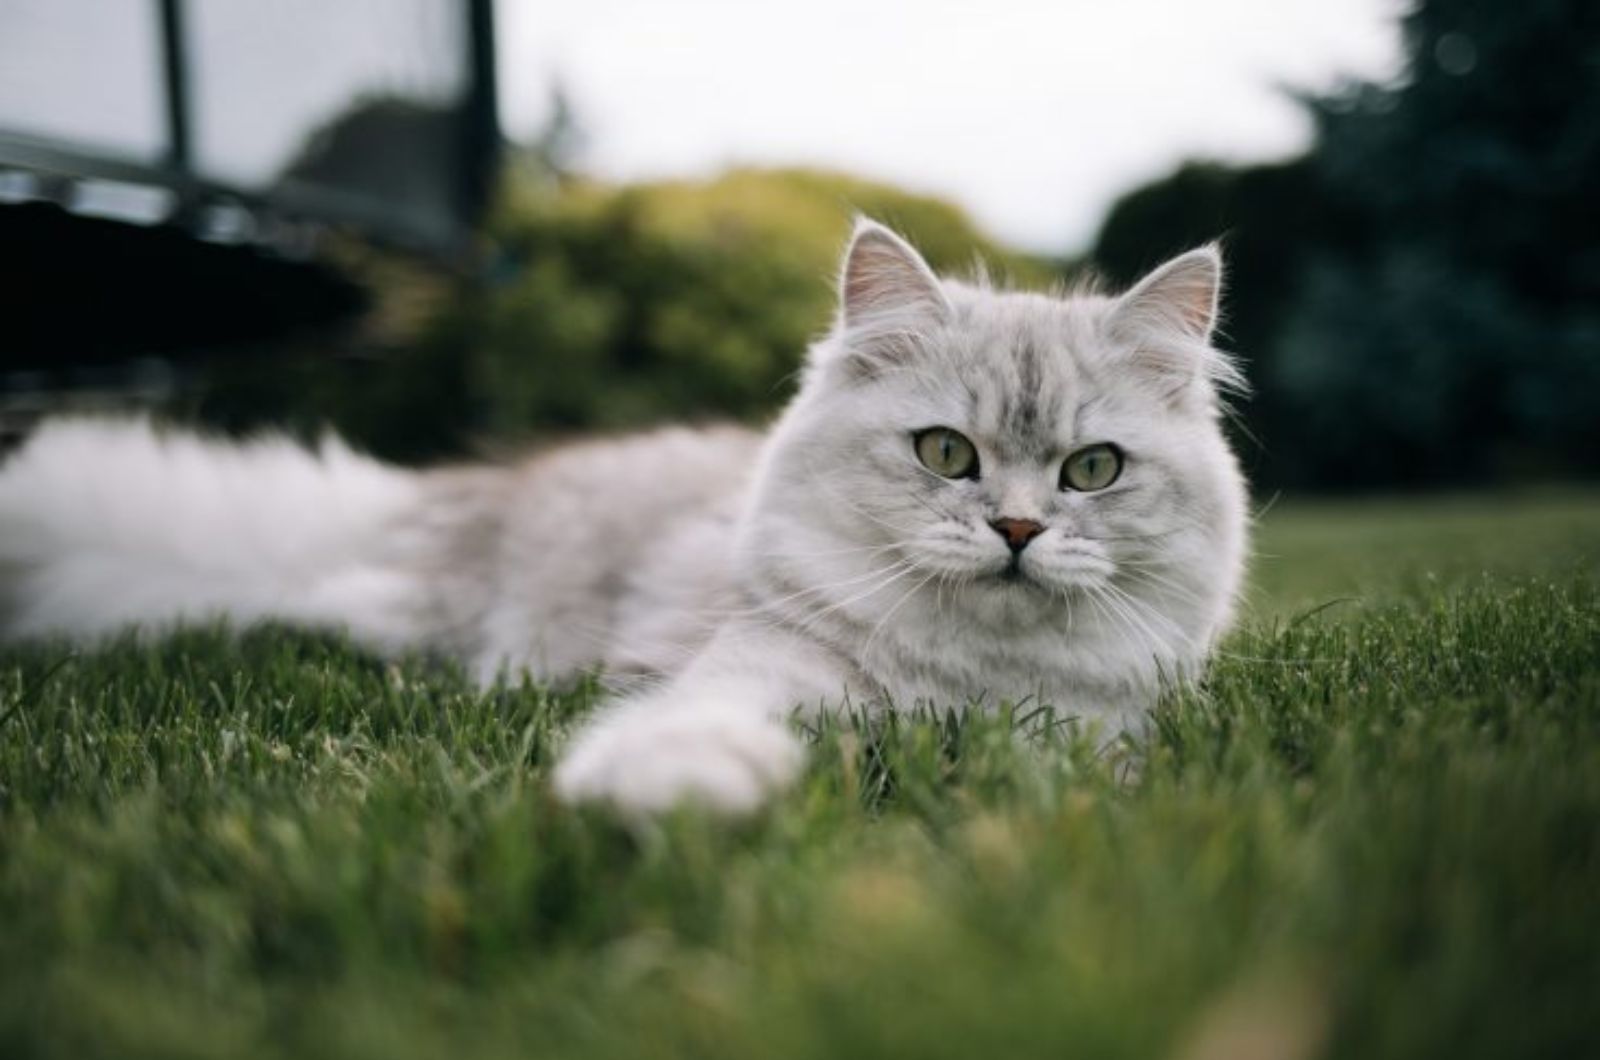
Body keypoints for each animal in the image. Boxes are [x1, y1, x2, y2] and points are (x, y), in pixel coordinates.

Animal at [0, 222, 1248, 813]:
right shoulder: (760, 667)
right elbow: (701, 724)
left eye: (1091, 470)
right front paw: (667, 796)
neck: (960, 687)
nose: (1019, 532)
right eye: (946, 454)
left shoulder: (1094, 730)